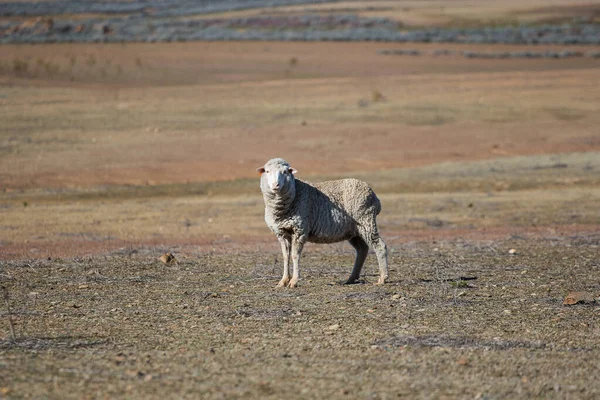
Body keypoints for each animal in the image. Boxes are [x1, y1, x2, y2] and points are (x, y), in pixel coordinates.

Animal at [254, 159, 386, 288]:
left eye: (286, 171)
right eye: (267, 171)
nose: (275, 185)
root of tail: (376, 198)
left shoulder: (299, 230)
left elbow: (295, 256)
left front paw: (294, 281)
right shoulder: (281, 232)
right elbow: (286, 256)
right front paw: (283, 281)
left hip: (366, 221)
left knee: (380, 246)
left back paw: (382, 278)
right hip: (354, 230)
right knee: (362, 249)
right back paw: (351, 279)